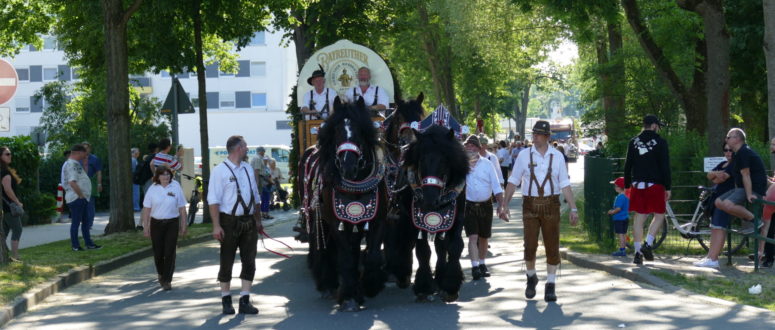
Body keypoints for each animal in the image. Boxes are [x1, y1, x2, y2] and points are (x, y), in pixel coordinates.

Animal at [302, 96, 392, 312]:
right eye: (336, 131)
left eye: (359, 131)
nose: (347, 166)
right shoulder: (336, 223)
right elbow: (346, 258)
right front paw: (349, 297)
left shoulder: (378, 220)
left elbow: (372, 255)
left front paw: (370, 285)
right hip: (319, 219)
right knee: (324, 249)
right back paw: (327, 284)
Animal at [400, 125, 466, 302]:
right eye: (421, 160)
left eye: (444, 160)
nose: (430, 201)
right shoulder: (415, 221)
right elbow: (423, 250)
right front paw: (424, 286)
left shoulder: (458, 218)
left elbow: (455, 246)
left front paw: (450, 286)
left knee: (442, 247)